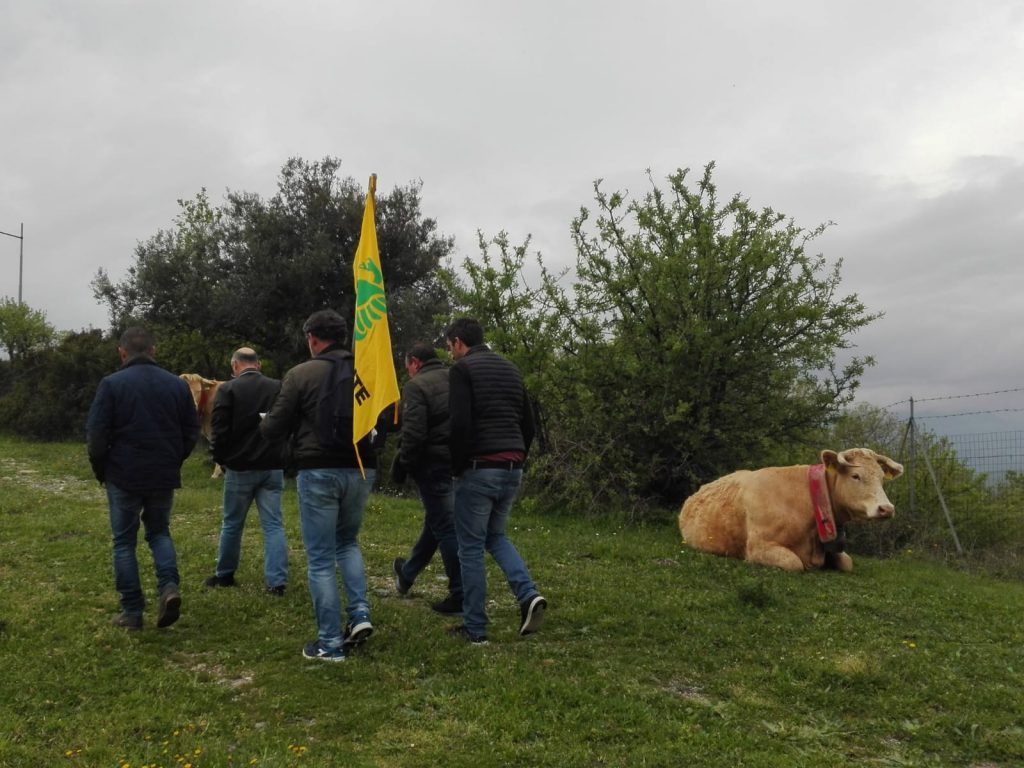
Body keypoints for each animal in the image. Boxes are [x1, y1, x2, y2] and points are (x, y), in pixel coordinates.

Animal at [679, 450, 905, 573]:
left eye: (881, 478)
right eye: (855, 476)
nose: (886, 509)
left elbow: (847, 562)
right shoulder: (758, 546)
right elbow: (794, 563)